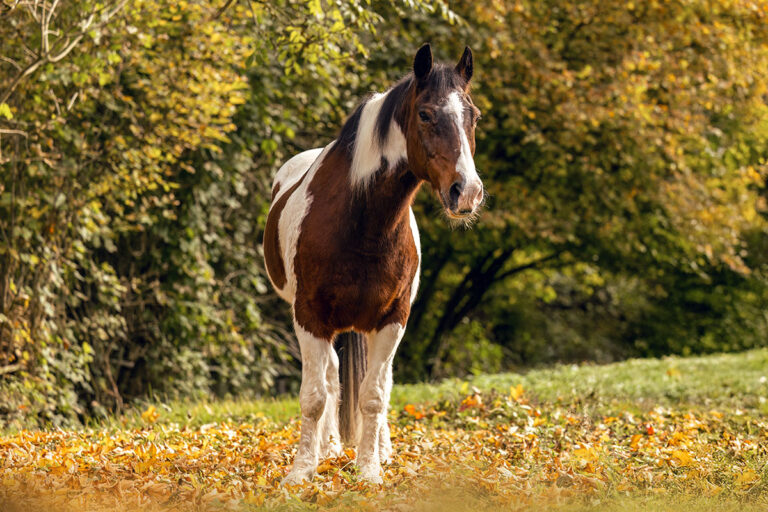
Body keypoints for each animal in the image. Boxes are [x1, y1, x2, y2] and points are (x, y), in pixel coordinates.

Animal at [263, 43, 483, 485]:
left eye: (474, 116)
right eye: (425, 114)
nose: (466, 192)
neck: (359, 221)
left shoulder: (392, 319)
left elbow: (374, 396)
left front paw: (369, 470)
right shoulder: (308, 317)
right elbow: (315, 396)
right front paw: (302, 471)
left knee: (379, 382)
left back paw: (380, 450)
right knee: (331, 379)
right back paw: (329, 448)